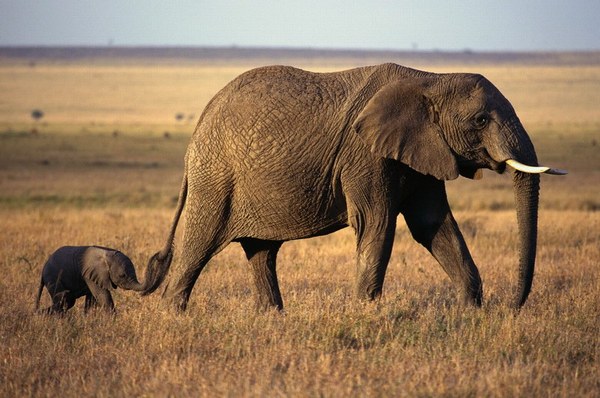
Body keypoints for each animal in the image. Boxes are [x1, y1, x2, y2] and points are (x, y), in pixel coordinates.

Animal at [143, 63, 564, 310]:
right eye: (480, 120)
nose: (511, 306)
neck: (430, 78)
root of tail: (200, 124)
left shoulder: (423, 151)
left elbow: (433, 225)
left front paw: (469, 315)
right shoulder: (365, 154)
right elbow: (377, 224)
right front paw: (365, 315)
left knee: (262, 252)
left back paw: (271, 318)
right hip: (215, 178)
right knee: (199, 244)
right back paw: (173, 316)